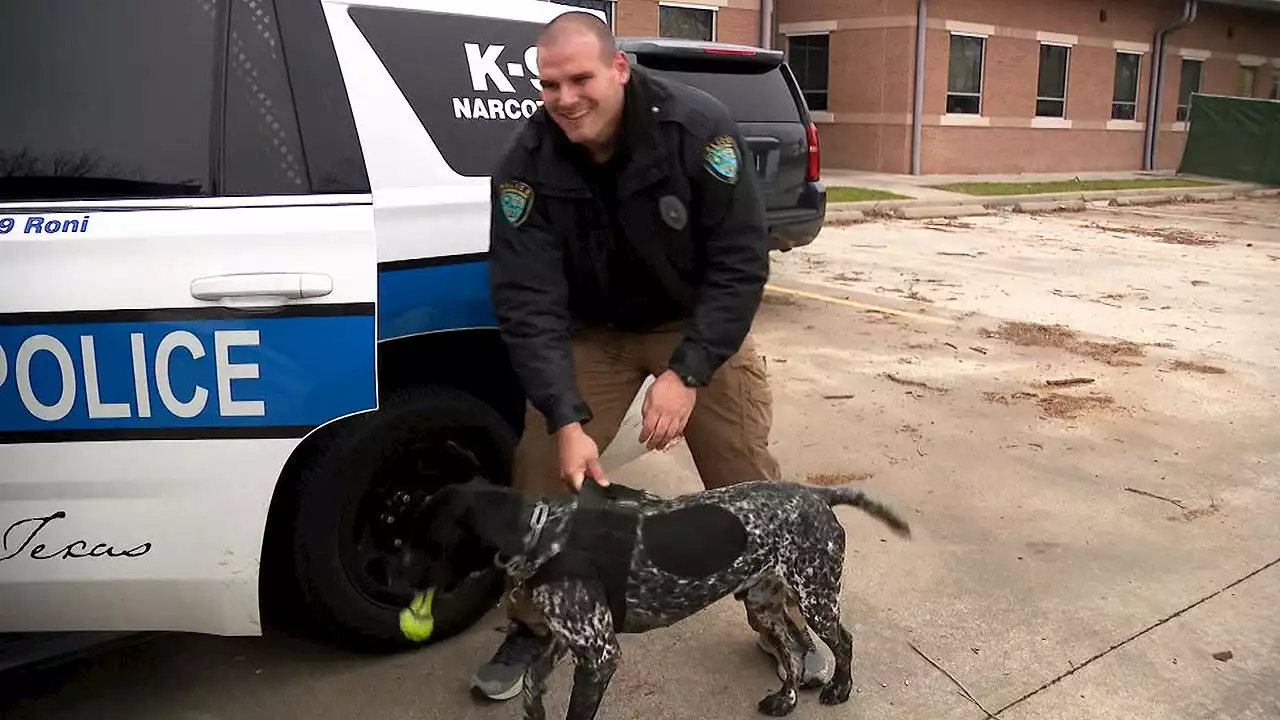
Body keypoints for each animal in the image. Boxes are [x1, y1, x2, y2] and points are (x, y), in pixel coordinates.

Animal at [407, 476, 911, 717]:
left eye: (428, 539)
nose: (398, 583)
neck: (544, 534)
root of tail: (815, 493)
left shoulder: (600, 655)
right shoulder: (562, 641)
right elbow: (532, 688)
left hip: (815, 596)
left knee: (842, 641)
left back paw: (840, 689)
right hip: (762, 604)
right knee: (789, 649)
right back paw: (784, 700)